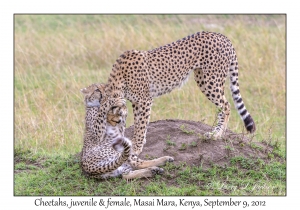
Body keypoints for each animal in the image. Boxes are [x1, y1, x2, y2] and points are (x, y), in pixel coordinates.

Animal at [96, 31, 255, 156]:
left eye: (112, 122)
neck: (118, 80)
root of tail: (221, 35)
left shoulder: (145, 100)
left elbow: (141, 124)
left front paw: (136, 147)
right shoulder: (136, 102)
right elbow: (139, 122)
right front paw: (138, 141)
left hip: (210, 81)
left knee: (226, 105)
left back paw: (217, 134)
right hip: (203, 78)